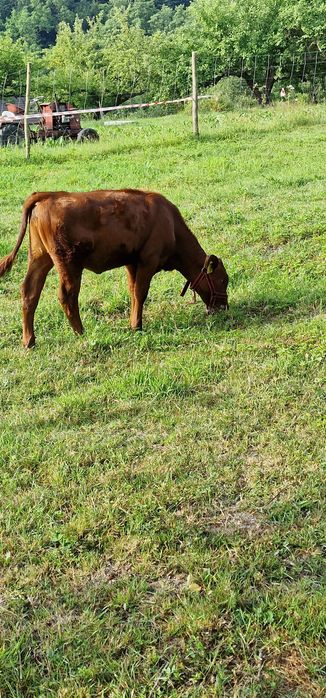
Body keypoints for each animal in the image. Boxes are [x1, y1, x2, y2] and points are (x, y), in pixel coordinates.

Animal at [0, 189, 229, 344]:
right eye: (222, 280)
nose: (224, 307)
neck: (170, 224)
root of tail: (49, 195)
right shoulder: (148, 260)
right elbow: (140, 292)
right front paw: (137, 326)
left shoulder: (131, 262)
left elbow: (133, 291)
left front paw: (133, 321)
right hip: (69, 264)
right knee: (67, 296)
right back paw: (80, 332)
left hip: (40, 258)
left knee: (30, 292)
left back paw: (29, 341)